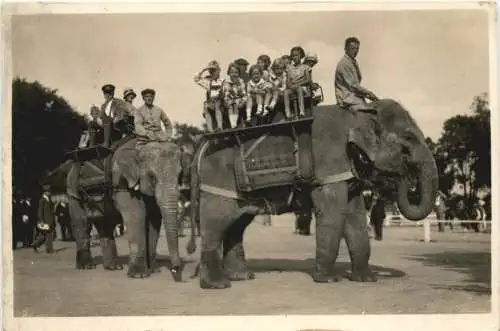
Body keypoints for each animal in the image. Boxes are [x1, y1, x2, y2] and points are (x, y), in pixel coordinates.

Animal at [68, 136, 195, 282]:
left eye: (179, 175)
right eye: (152, 177)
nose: (176, 272)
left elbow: (154, 219)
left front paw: (154, 270)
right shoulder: (121, 182)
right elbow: (137, 215)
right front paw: (139, 275)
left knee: (106, 224)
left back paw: (113, 267)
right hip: (72, 191)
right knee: (81, 222)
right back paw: (87, 266)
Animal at [189, 99, 440, 290]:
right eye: (408, 141)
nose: (404, 178)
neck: (359, 112)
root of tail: (199, 148)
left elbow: (356, 218)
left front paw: (366, 279)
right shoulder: (329, 165)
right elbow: (333, 214)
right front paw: (329, 280)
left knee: (236, 225)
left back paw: (242, 277)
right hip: (217, 182)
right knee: (217, 223)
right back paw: (218, 285)